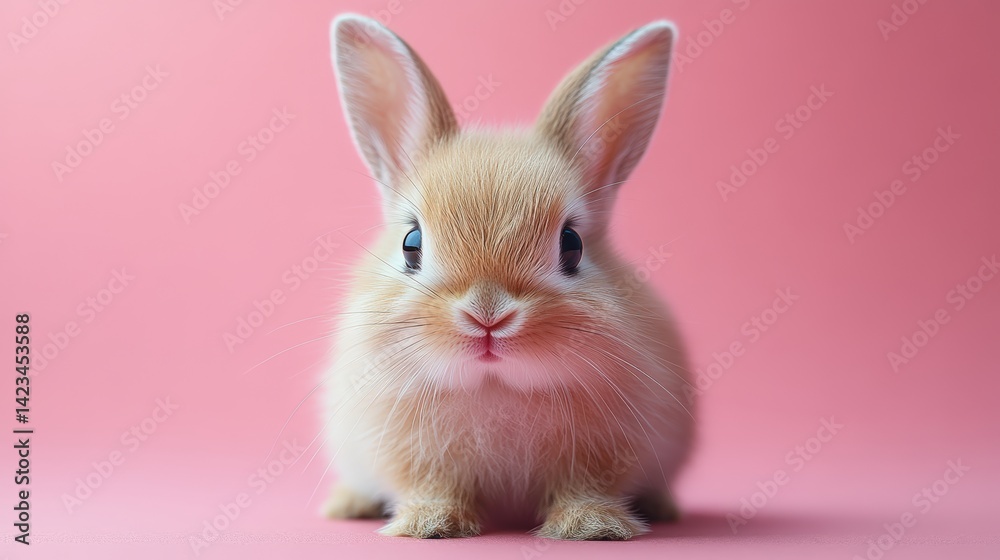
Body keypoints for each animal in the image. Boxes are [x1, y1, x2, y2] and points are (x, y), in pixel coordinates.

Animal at [321, 13, 694, 540]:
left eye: (572, 245)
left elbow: (587, 488)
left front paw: (592, 526)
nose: (488, 316)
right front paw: (431, 524)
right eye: (411, 244)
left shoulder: (603, 458)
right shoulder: (411, 456)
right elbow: (432, 487)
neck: (494, 386)